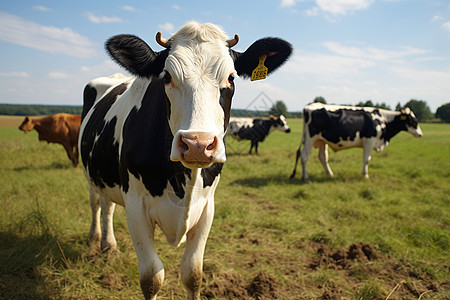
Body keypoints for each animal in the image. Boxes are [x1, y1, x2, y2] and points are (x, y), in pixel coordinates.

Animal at [80, 21, 292, 300]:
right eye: (167, 76)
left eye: (231, 77)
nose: (197, 145)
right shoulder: (136, 205)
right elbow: (151, 278)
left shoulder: (207, 206)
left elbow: (193, 274)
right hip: (93, 174)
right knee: (98, 204)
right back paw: (99, 241)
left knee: (107, 205)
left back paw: (109, 246)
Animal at [290, 103, 424, 182]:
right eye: (413, 120)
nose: (421, 134)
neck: (382, 120)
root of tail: (309, 107)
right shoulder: (370, 140)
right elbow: (367, 159)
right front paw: (365, 175)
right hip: (310, 138)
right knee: (304, 156)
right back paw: (305, 177)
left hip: (322, 140)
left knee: (322, 157)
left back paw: (330, 174)